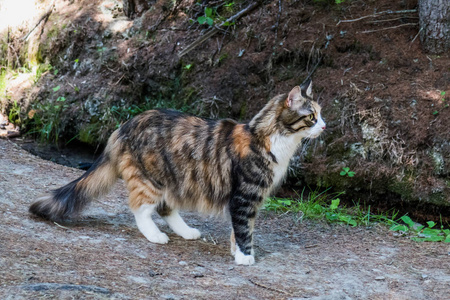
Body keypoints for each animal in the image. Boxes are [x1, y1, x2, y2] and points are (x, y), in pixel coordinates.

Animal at [30, 79, 326, 264]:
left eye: (320, 115)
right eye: (312, 117)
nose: (324, 126)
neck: (268, 139)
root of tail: (125, 125)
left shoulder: (247, 199)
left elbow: (239, 230)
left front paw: (236, 251)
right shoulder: (244, 197)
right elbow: (243, 229)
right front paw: (244, 257)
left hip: (177, 179)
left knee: (165, 208)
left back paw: (186, 232)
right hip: (152, 180)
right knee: (140, 209)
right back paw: (155, 236)